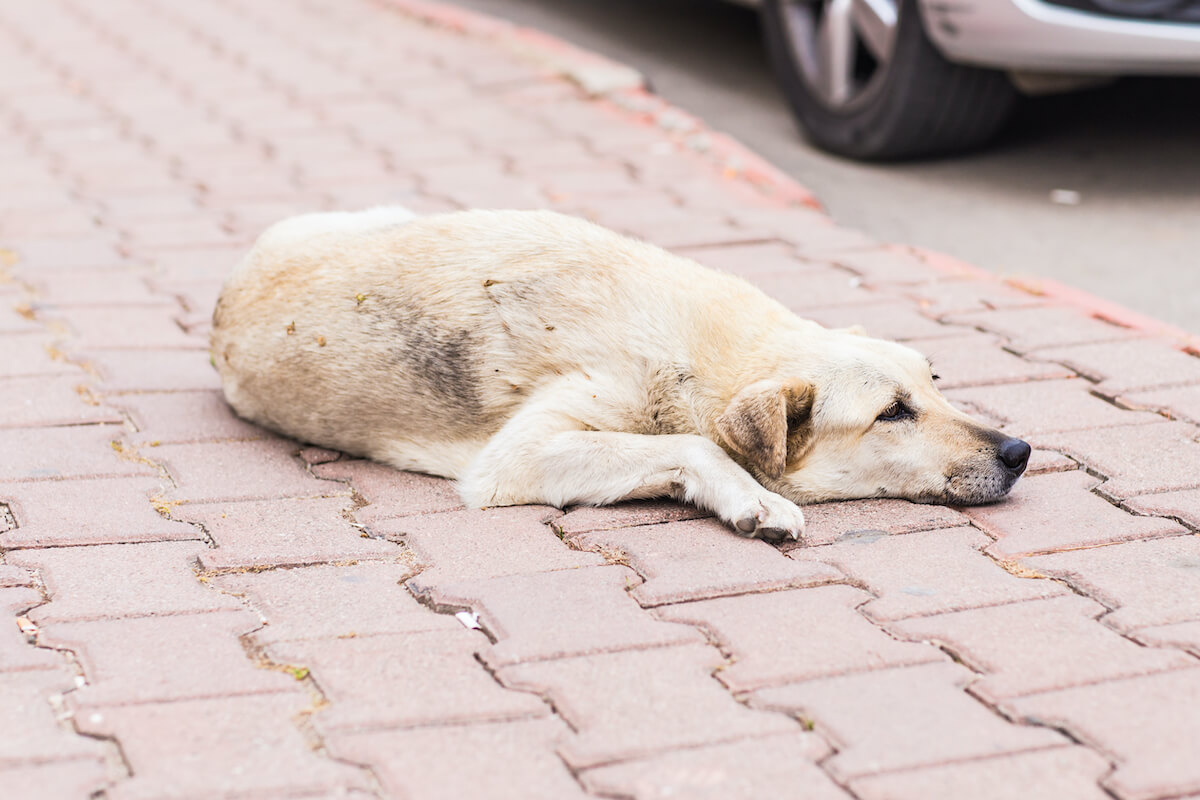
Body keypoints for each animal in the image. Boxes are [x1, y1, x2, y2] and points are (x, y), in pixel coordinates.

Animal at [208, 209, 1032, 542]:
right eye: (893, 412)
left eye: (933, 382)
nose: (1020, 452)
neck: (711, 350)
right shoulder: (521, 453)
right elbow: (693, 446)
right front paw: (751, 498)